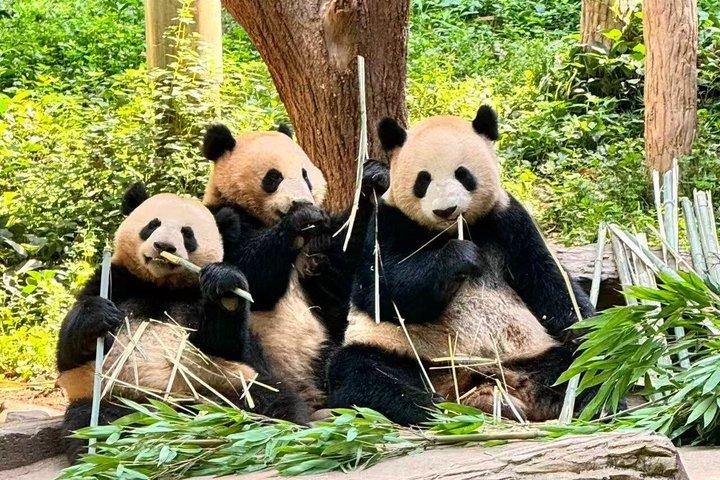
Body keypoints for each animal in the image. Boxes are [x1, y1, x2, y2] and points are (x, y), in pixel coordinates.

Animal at [56, 183, 308, 463]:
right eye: (153, 224)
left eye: (187, 234)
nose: (163, 245)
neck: (161, 286)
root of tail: (179, 415)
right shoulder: (116, 280)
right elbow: (68, 355)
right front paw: (97, 315)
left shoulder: (196, 297)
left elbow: (225, 344)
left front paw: (225, 287)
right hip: (114, 396)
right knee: (94, 421)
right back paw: (107, 450)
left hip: (232, 383)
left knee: (273, 399)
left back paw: (284, 436)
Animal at [201, 124, 389, 409]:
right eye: (273, 178)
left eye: (305, 174)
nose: (301, 201)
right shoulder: (221, 217)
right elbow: (252, 275)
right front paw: (300, 217)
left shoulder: (317, 248)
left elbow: (340, 267)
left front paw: (372, 179)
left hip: (324, 345)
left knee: (354, 365)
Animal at [326, 106, 596, 425]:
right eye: (423, 180)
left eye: (463, 174)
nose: (446, 210)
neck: (451, 230)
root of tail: (476, 382)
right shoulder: (389, 222)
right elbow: (381, 290)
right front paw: (462, 257)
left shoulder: (508, 219)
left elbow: (548, 279)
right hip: (409, 354)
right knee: (362, 372)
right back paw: (433, 408)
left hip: (529, 355)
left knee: (574, 366)